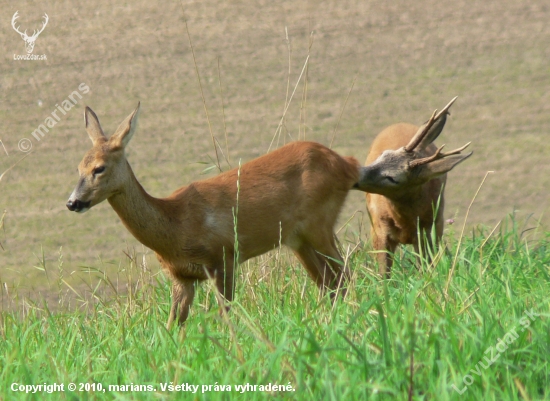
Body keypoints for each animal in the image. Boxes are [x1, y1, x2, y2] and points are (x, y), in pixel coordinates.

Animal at [67, 103, 376, 328]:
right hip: (298, 239)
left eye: (99, 168)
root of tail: (348, 165)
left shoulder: (223, 257)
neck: (175, 226)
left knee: (345, 276)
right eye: (78, 168)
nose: (73, 202)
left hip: (319, 223)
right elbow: (172, 326)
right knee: (330, 284)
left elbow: (226, 315)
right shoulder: (181, 278)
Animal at [358, 97, 474, 276]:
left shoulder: (429, 229)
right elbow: (383, 274)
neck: (404, 220)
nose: (356, 173)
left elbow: (426, 268)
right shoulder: (378, 229)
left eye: (392, 178)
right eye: (382, 155)